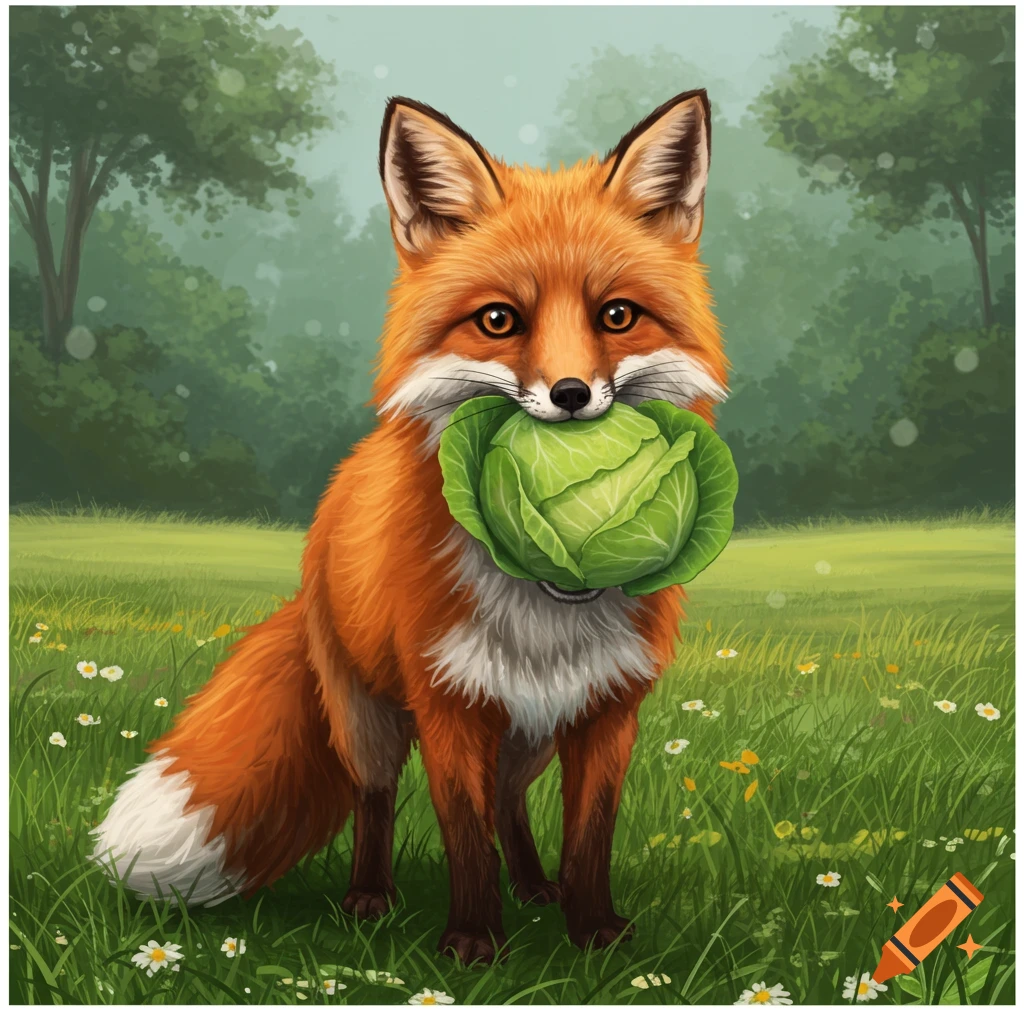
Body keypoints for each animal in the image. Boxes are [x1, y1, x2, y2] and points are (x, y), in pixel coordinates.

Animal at [91, 90, 728, 966]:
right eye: (498, 320)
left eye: (617, 315)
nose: (570, 396)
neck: (542, 608)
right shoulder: (446, 700)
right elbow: (460, 832)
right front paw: (474, 944)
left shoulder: (606, 706)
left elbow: (589, 835)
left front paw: (595, 932)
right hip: (369, 718)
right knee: (377, 798)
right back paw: (371, 897)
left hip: (526, 735)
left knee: (510, 806)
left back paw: (536, 888)